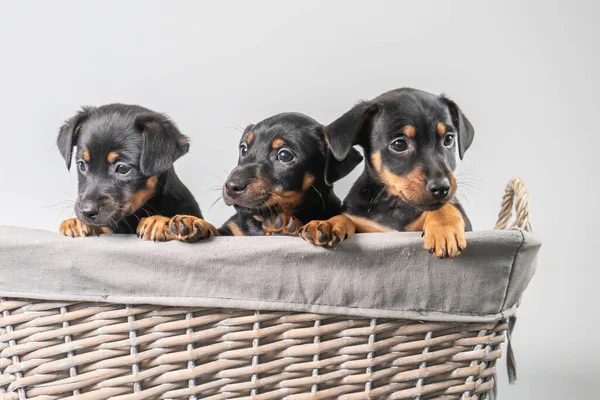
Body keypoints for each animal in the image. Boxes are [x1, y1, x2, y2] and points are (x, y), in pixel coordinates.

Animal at [171, 111, 360, 245]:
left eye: (284, 155)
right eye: (243, 148)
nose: (231, 186)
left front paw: (328, 225)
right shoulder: (232, 232)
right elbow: (216, 231)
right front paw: (191, 222)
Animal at [322, 87, 476, 258]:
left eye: (448, 140)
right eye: (399, 144)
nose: (442, 188)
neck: (395, 204)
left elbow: (445, 206)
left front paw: (443, 228)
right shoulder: (366, 225)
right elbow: (347, 218)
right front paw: (328, 223)